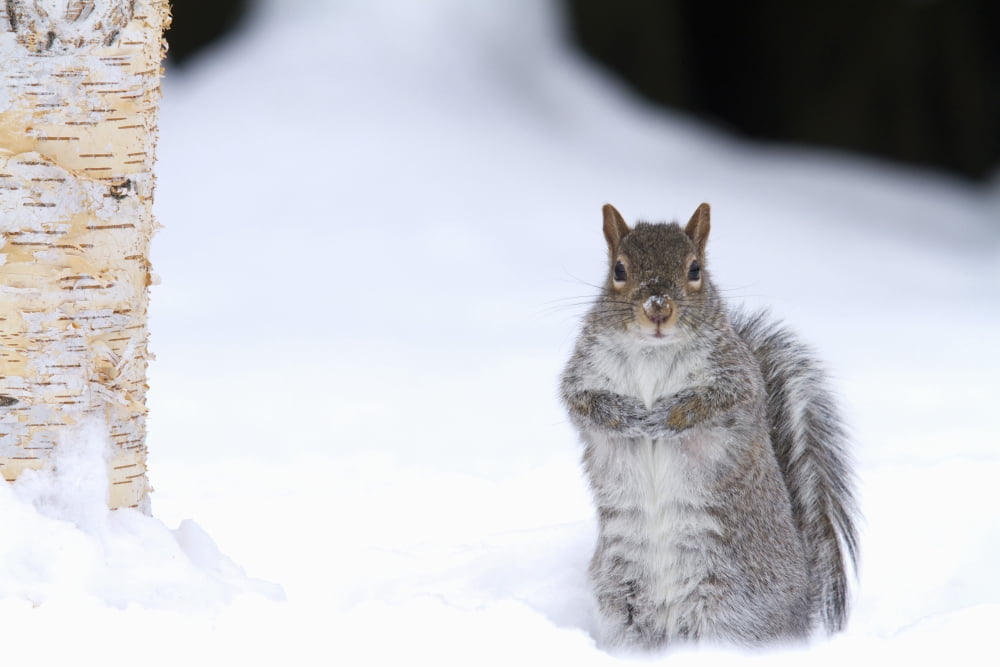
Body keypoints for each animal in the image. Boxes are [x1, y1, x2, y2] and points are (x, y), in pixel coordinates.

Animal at [560, 203, 858, 649]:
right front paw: (629, 416)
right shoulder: (583, 371)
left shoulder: (737, 377)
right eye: (619, 270)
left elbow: (712, 402)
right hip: (622, 600)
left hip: (731, 605)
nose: (658, 307)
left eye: (695, 269)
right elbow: (584, 403)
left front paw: (663, 417)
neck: (652, 350)